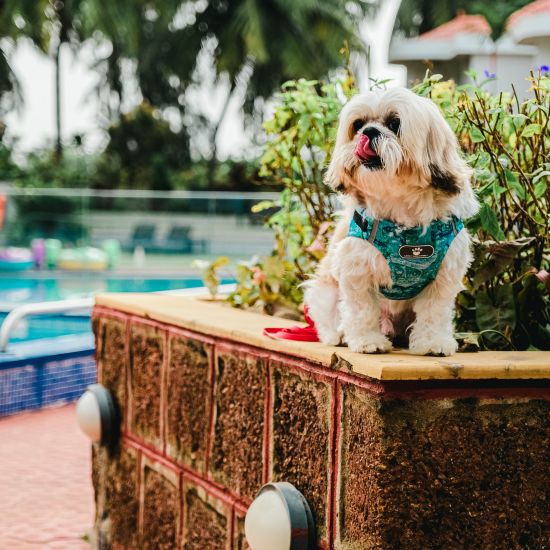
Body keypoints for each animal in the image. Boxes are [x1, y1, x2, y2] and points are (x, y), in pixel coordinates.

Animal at [304, 87, 480, 358]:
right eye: (358, 125)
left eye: (394, 123)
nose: (368, 132)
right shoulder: (356, 270)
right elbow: (362, 309)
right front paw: (367, 341)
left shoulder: (443, 276)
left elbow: (434, 312)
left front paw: (433, 342)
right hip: (326, 292)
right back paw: (340, 335)